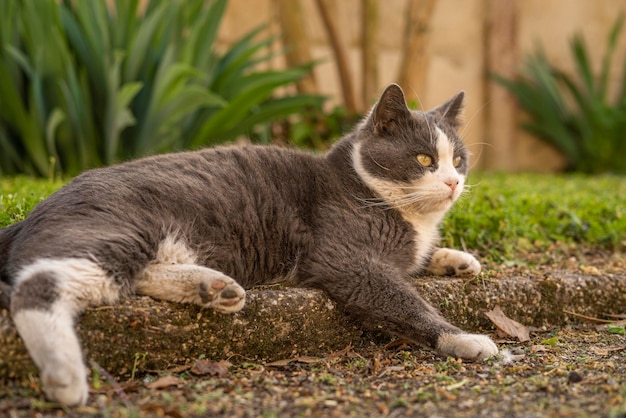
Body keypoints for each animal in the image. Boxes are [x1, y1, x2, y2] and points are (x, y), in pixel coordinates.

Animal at [0, 83, 498, 406]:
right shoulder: (345, 257)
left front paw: (457, 260)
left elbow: (416, 259)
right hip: (117, 228)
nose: (454, 182)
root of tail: (35, 211)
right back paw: (64, 377)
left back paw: (213, 288)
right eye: (424, 159)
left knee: (131, 276)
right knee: (39, 283)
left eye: (458, 160)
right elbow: (401, 296)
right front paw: (467, 339)